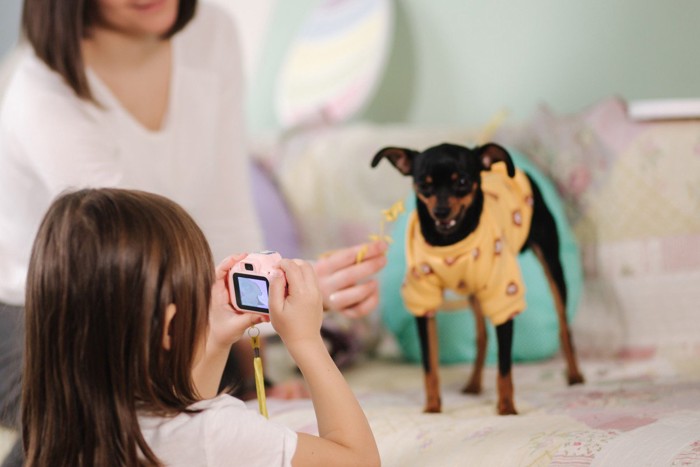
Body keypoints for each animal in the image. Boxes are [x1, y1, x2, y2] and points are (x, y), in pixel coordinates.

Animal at [372, 144, 584, 416]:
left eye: (462, 181)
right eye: (423, 185)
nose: (441, 211)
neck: (449, 243)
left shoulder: (504, 297)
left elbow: (504, 366)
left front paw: (507, 409)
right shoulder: (423, 303)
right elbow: (430, 366)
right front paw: (432, 408)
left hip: (552, 263)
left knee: (564, 326)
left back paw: (575, 375)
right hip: (473, 291)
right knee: (482, 336)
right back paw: (473, 383)